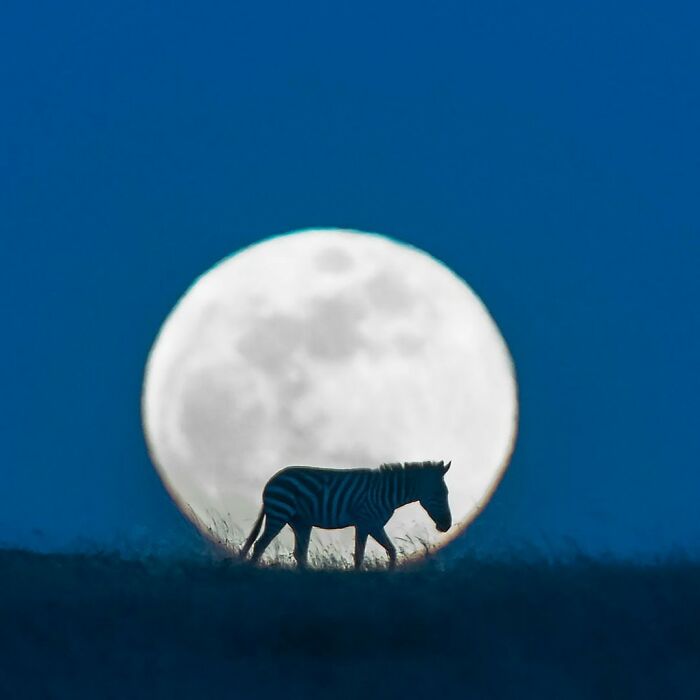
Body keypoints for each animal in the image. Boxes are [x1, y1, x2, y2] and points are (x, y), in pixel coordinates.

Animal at [240, 460, 451, 569]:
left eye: (445, 493)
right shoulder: (366, 522)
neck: (386, 493)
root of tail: (272, 479)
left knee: (299, 553)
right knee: (260, 545)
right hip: (279, 513)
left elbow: (391, 550)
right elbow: (359, 555)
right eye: (440, 494)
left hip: (301, 522)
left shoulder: (374, 525)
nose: (447, 526)